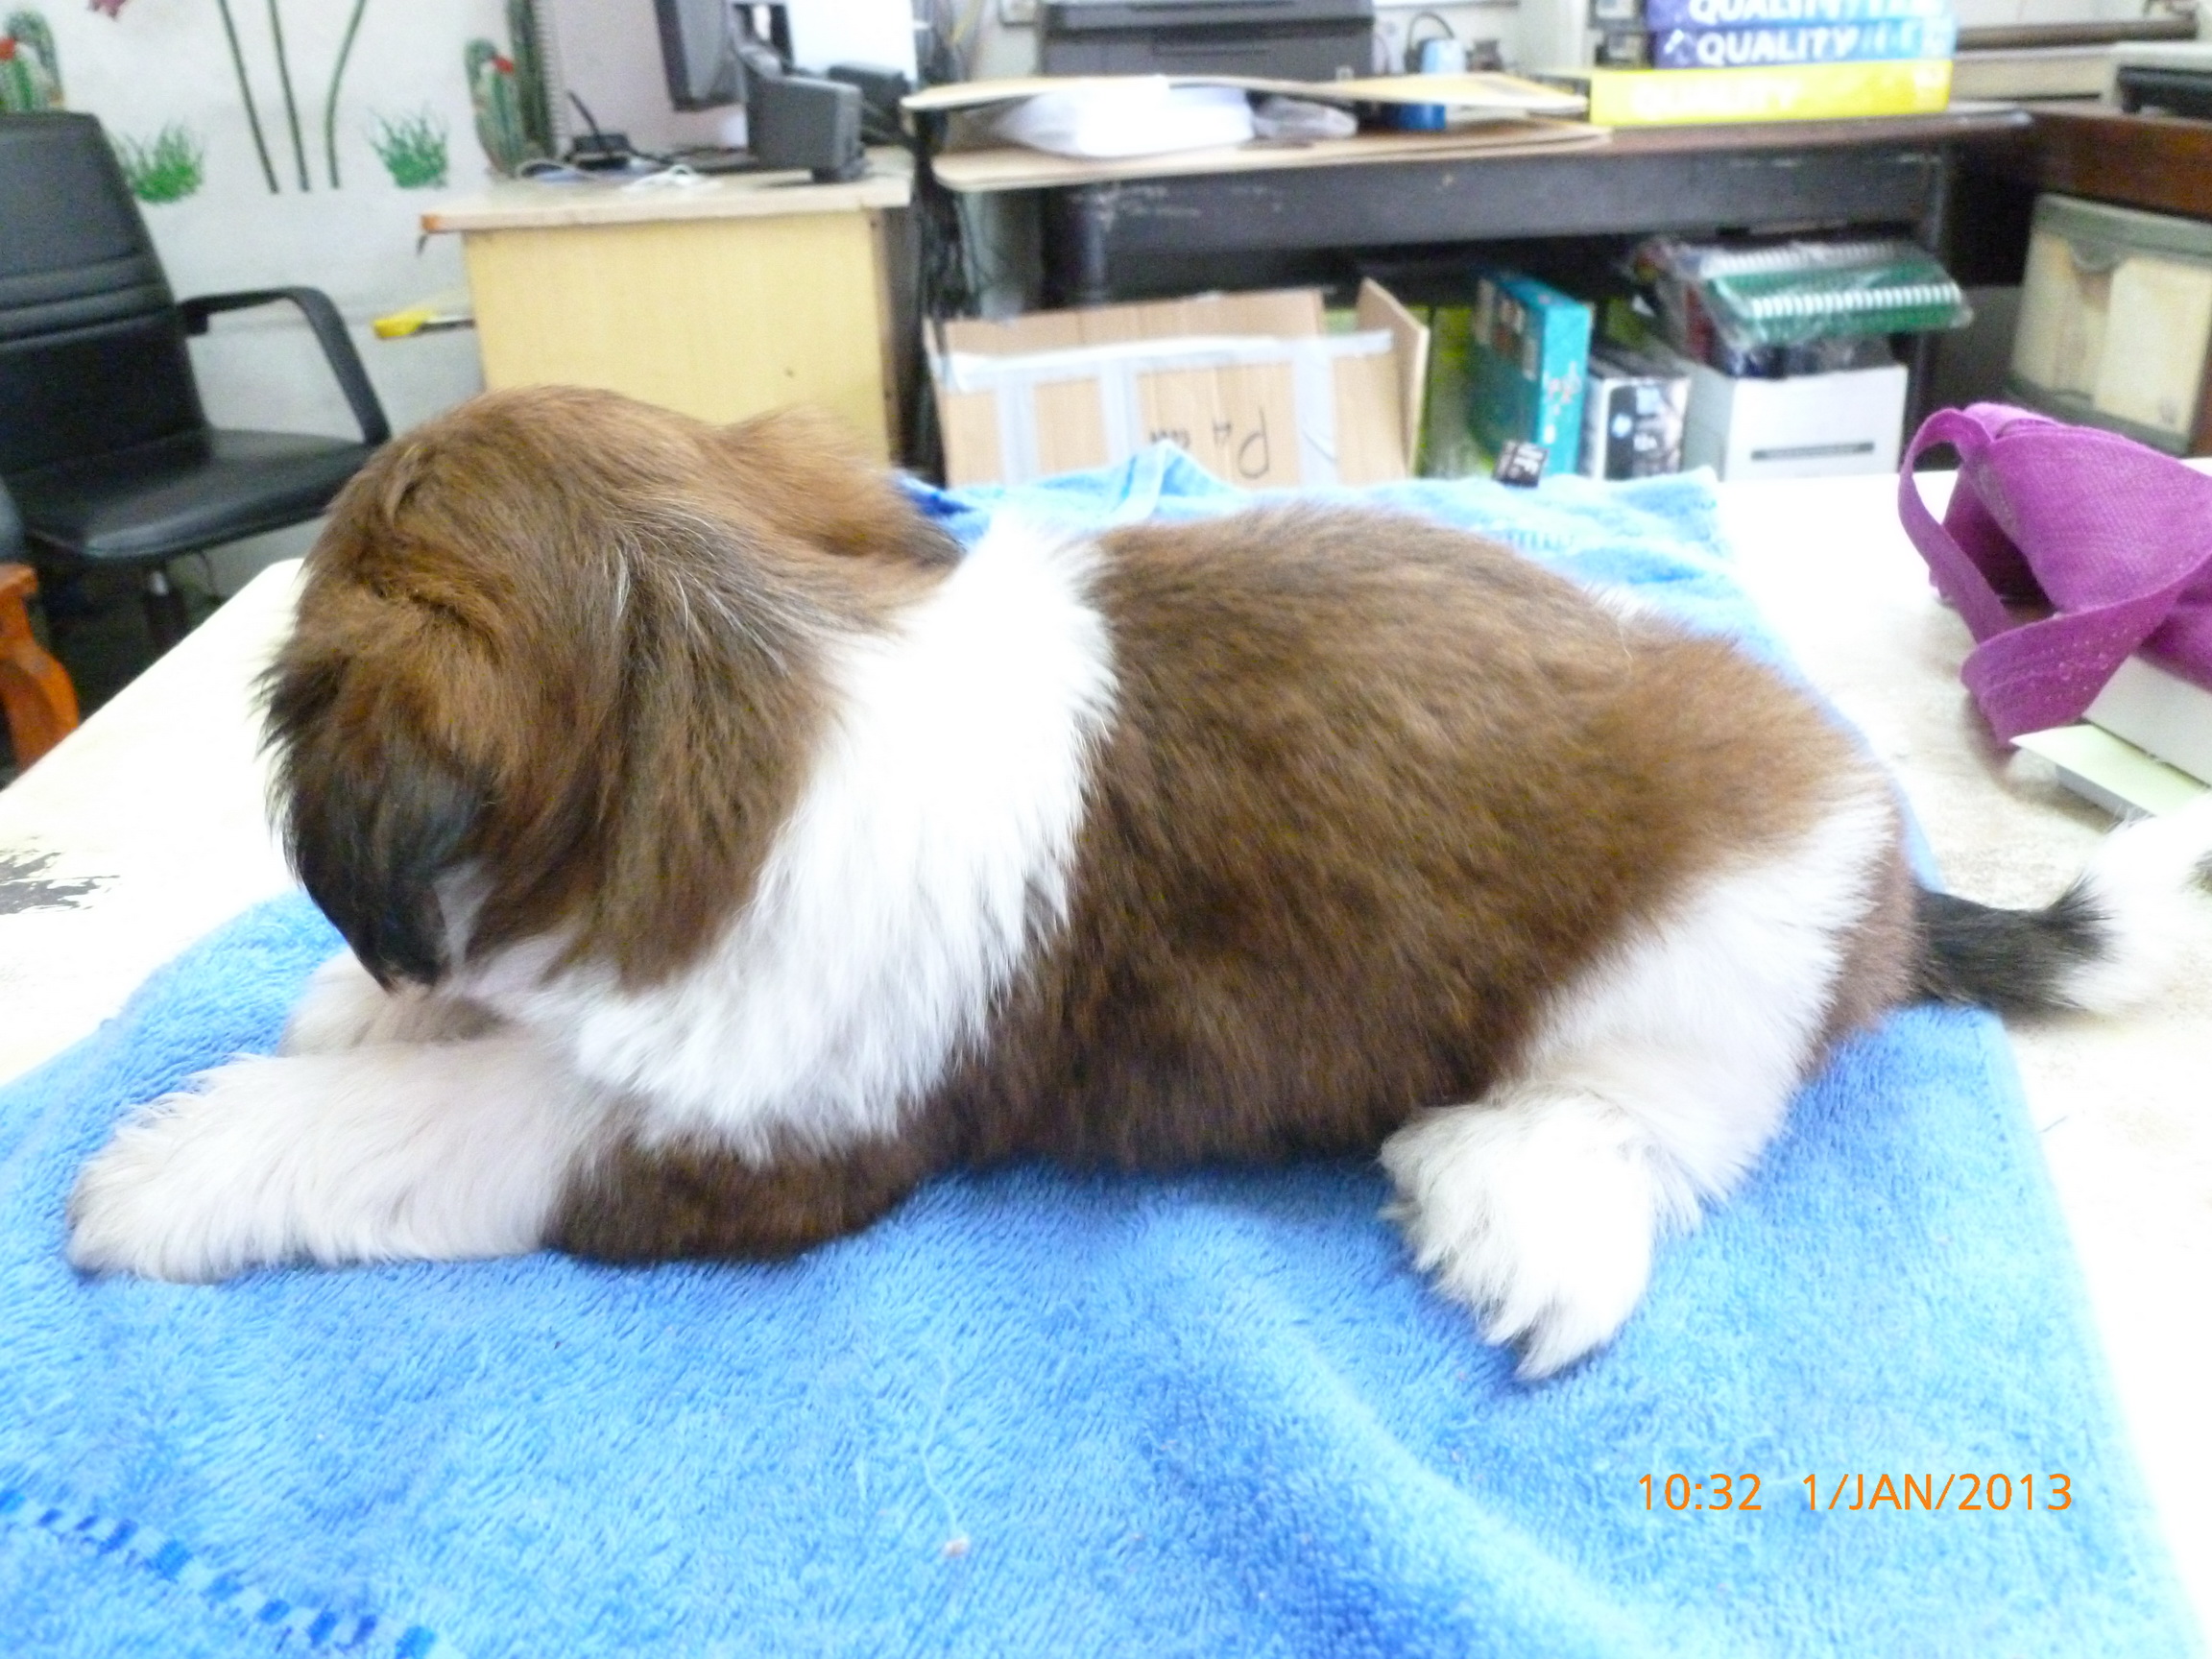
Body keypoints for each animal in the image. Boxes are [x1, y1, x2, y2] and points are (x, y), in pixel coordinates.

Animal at [66, 386, 2212, 1378]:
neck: (729, 660)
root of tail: (1884, 859)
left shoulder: (737, 1138)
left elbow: (452, 1119)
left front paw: (184, 1161)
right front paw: (366, 1001)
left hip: (1701, 951)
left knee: (1662, 1118)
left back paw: (1523, 1198)